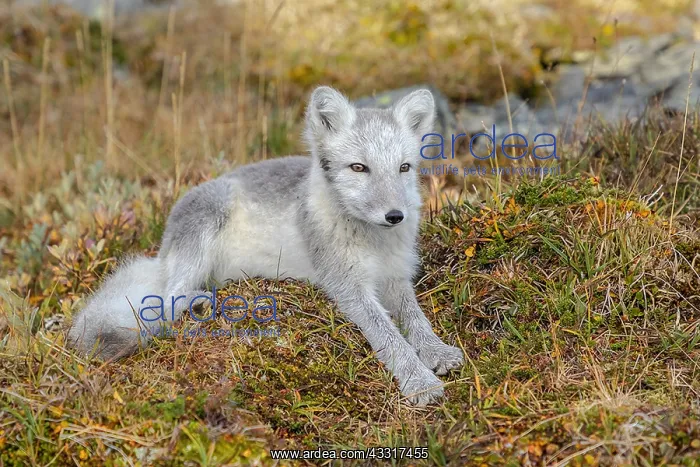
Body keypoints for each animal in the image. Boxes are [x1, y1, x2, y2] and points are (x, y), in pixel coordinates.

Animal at [68, 86, 464, 406]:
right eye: (358, 168)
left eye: (404, 167)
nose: (395, 215)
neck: (373, 240)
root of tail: (163, 250)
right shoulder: (347, 285)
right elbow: (388, 335)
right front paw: (419, 381)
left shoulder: (397, 277)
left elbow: (416, 318)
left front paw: (435, 351)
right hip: (206, 226)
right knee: (168, 299)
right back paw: (199, 302)